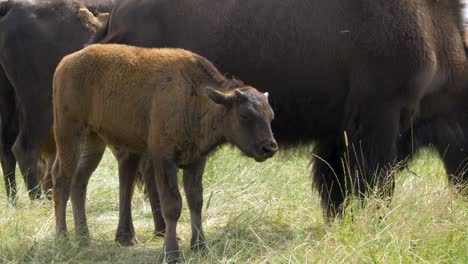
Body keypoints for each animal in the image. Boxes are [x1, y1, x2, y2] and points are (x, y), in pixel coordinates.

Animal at [0, 0, 112, 201]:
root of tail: (11, 6)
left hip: (8, 100)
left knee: (6, 150)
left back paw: (14, 202)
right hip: (40, 105)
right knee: (25, 149)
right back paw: (38, 201)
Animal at [51, 43, 278, 262]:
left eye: (270, 116)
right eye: (245, 114)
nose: (269, 148)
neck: (194, 95)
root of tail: (65, 62)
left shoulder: (196, 161)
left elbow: (195, 201)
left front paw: (200, 246)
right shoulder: (164, 159)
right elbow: (172, 205)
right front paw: (172, 254)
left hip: (93, 140)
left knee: (79, 181)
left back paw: (84, 238)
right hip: (68, 134)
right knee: (62, 179)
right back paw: (62, 238)